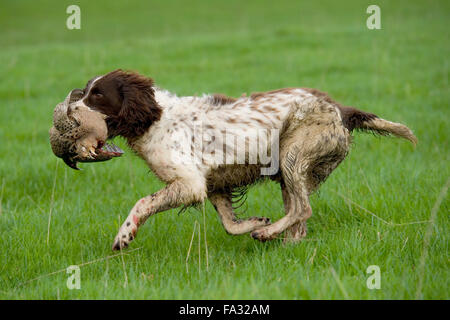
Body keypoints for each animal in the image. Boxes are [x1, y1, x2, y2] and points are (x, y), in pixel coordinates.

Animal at [71, 70, 418, 250]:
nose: (71, 106)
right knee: (298, 217)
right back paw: (280, 238)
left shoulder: (190, 183)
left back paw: (269, 235)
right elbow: (230, 224)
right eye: (86, 90)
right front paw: (256, 221)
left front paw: (124, 235)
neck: (155, 118)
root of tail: (340, 109)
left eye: (97, 95)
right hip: (290, 169)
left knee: (302, 209)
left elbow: (142, 203)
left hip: (292, 154)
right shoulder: (214, 185)